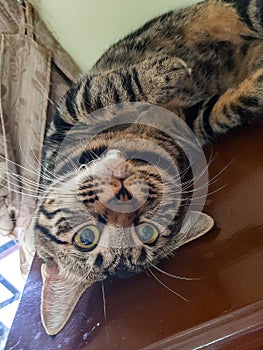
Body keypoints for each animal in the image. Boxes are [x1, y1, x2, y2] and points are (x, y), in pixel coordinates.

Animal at [33, 0, 263, 334]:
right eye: (148, 233)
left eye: (84, 239)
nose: (124, 198)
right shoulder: (195, 120)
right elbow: (224, 111)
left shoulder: (65, 115)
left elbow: (103, 90)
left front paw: (160, 75)